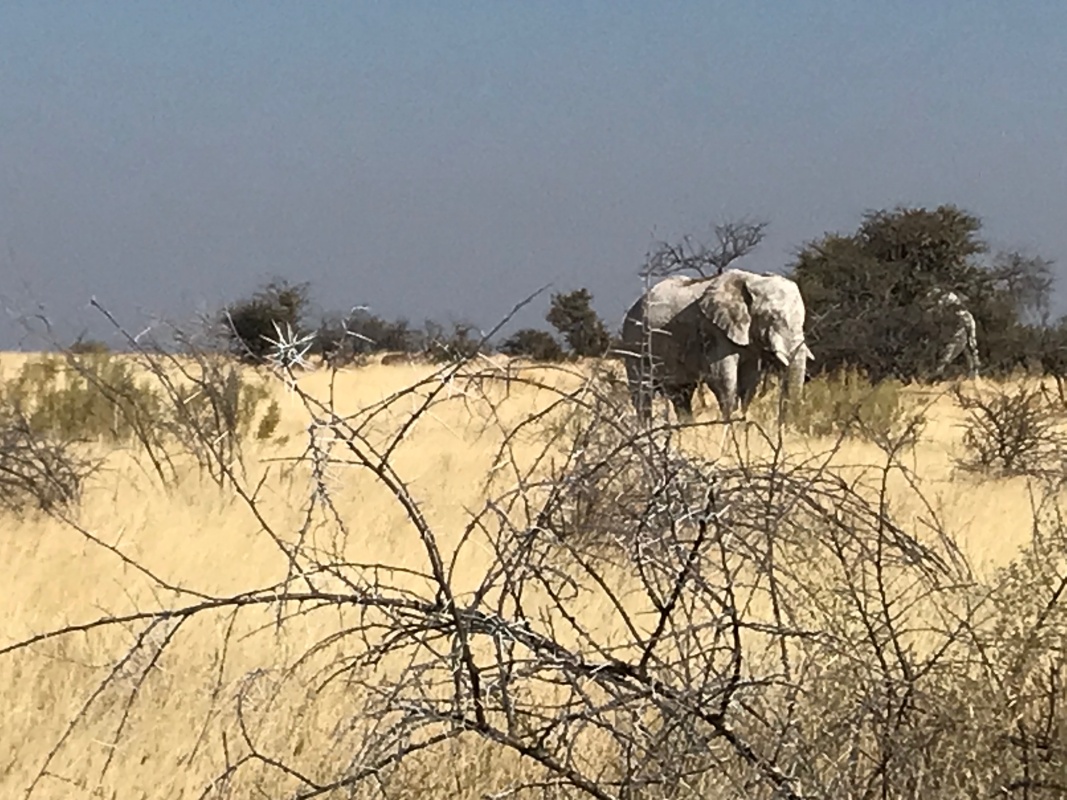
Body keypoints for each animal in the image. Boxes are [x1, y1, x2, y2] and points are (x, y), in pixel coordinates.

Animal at [614, 269, 810, 426]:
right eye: (773, 317)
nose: (784, 426)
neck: (752, 280)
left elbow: (749, 383)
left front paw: (742, 423)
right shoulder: (715, 331)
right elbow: (722, 380)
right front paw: (729, 426)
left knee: (681, 395)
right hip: (634, 343)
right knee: (643, 395)